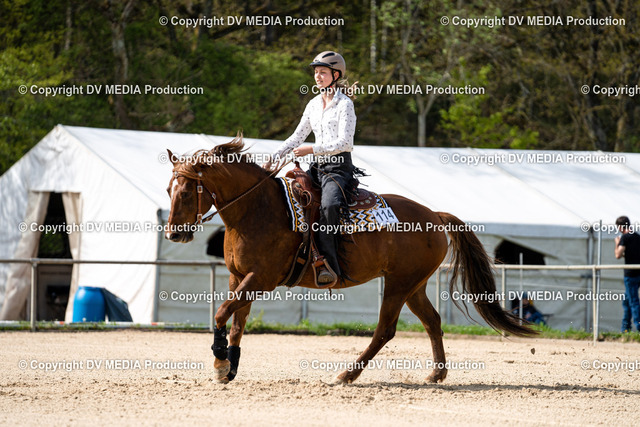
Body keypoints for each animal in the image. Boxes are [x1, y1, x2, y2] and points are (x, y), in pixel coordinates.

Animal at [165, 135, 536, 384]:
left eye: (187, 191)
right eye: (169, 190)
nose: (173, 234)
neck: (258, 210)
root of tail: (434, 215)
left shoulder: (261, 278)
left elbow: (221, 313)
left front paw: (219, 363)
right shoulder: (238, 276)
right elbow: (237, 322)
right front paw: (230, 367)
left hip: (399, 284)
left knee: (385, 330)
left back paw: (346, 375)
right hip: (414, 285)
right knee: (432, 322)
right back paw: (436, 375)